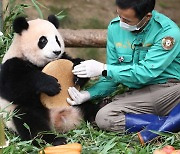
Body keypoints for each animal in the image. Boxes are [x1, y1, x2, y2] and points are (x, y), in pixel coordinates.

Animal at [0, 15, 99, 147]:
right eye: (43, 40)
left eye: (57, 40)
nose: (56, 51)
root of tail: (60, 121)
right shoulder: (11, 64)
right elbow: (14, 86)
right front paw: (51, 85)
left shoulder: (63, 57)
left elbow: (73, 62)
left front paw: (79, 72)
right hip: (16, 114)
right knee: (30, 121)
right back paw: (54, 140)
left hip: (75, 103)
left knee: (89, 107)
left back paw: (96, 117)